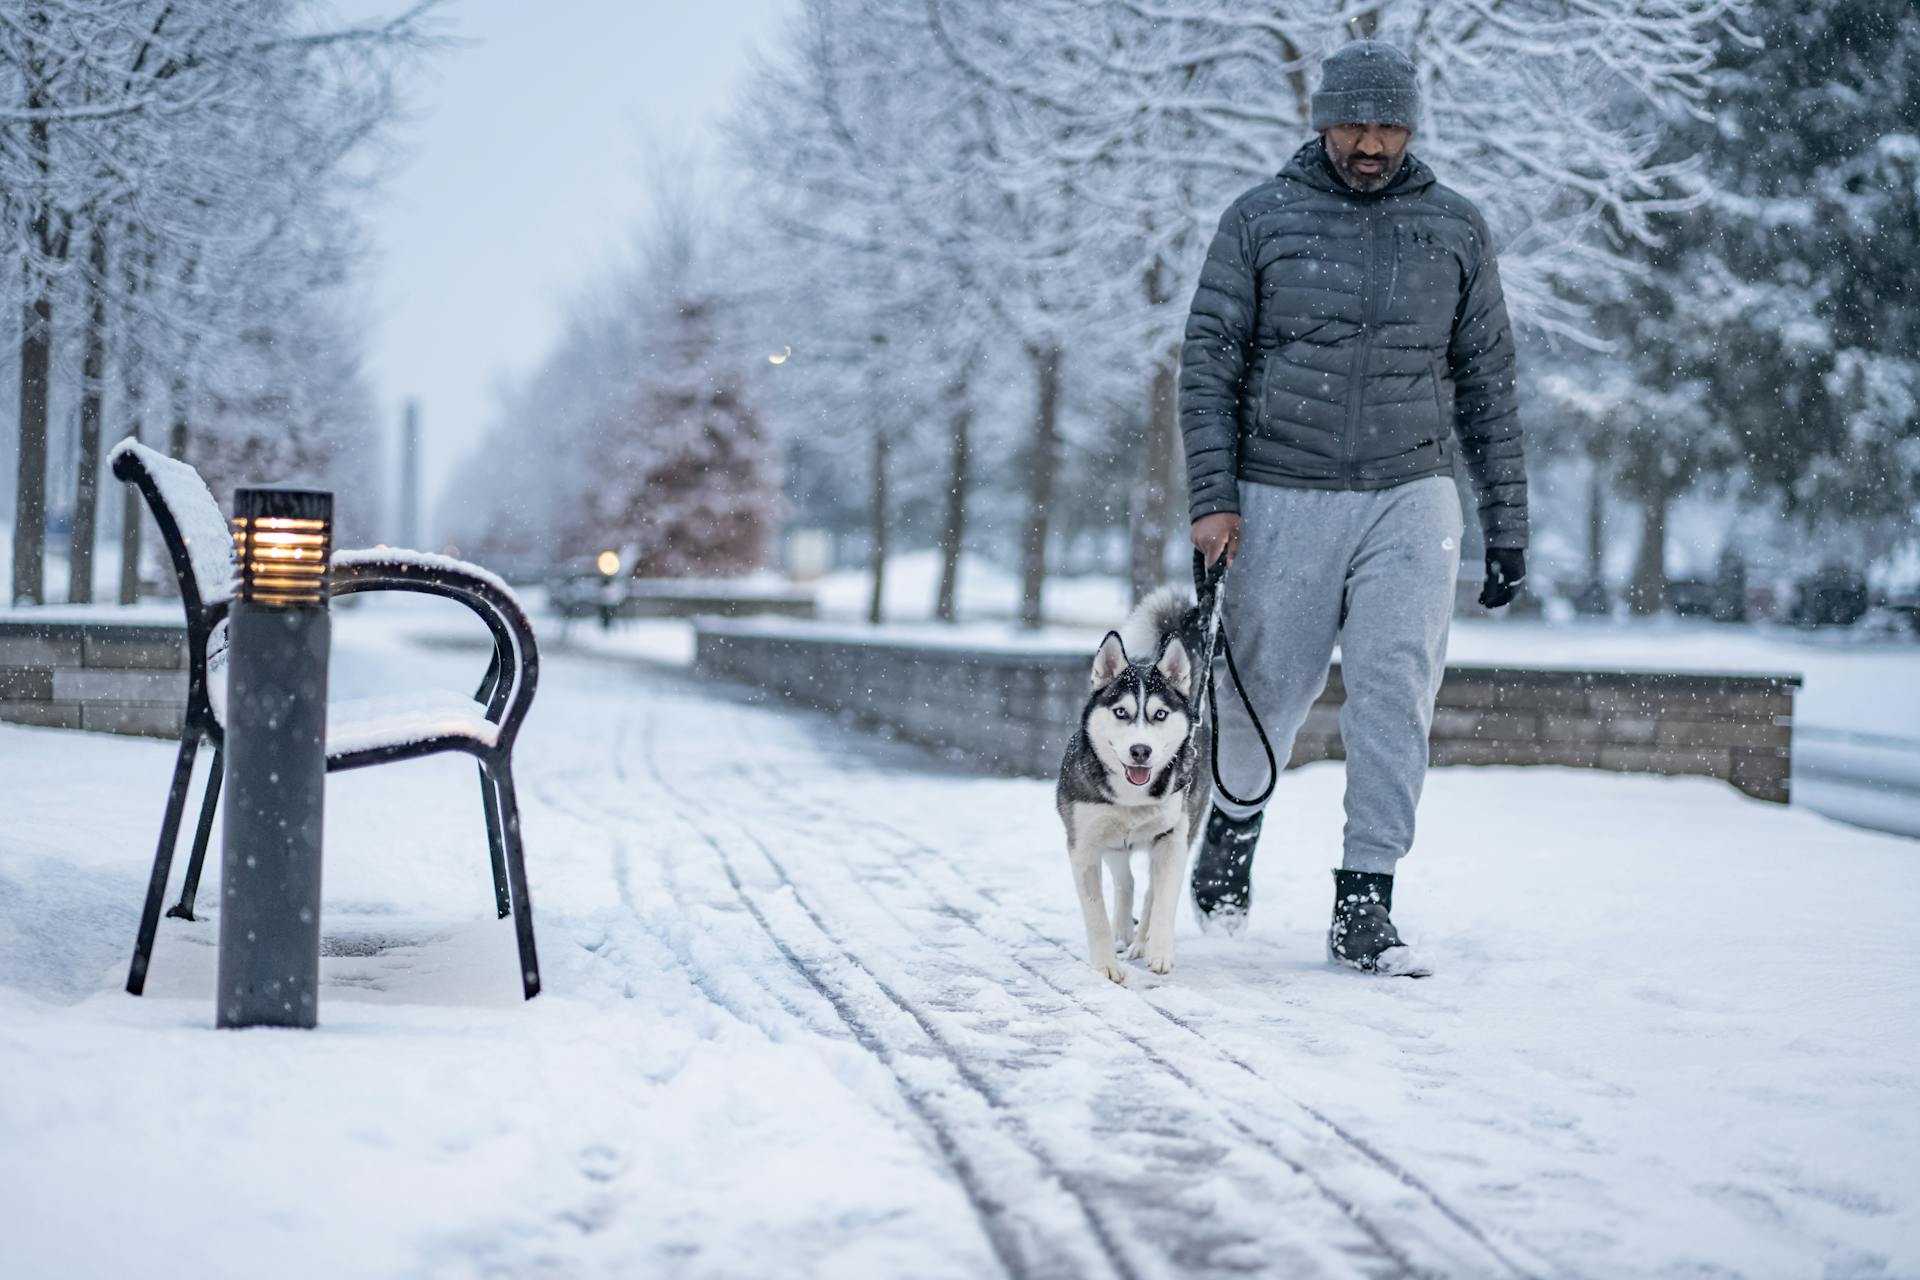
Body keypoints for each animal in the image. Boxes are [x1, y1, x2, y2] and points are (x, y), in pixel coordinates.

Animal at [1059, 587, 1205, 990]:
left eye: (1160, 715)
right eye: (1121, 712)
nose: (1141, 751)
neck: (1131, 796)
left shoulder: (1172, 835)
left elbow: (1165, 897)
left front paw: (1159, 949)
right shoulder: (1084, 843)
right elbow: (1095, 910)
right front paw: (1105, 964)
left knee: (1152, 887)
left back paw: (1142, 941)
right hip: (1110, 841)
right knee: (1125, 880)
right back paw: (1124, 929)